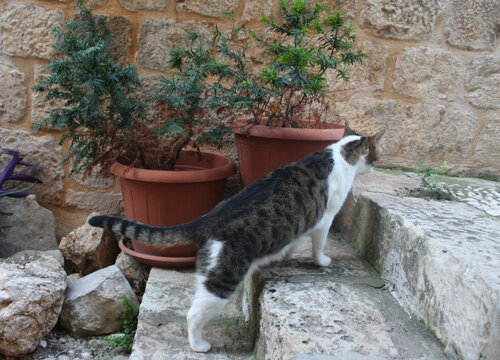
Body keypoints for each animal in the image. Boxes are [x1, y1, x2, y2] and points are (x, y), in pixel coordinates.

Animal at [89, 125, 382, 352]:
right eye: (376, 154)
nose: (376, 165)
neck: (341, 155)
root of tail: (209, 218)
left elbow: (293, 242)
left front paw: (285, 255)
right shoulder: (325, 218)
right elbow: (318, 245)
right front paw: (322, 261)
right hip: (224, 278)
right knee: (193, 314)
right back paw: (199, 346)